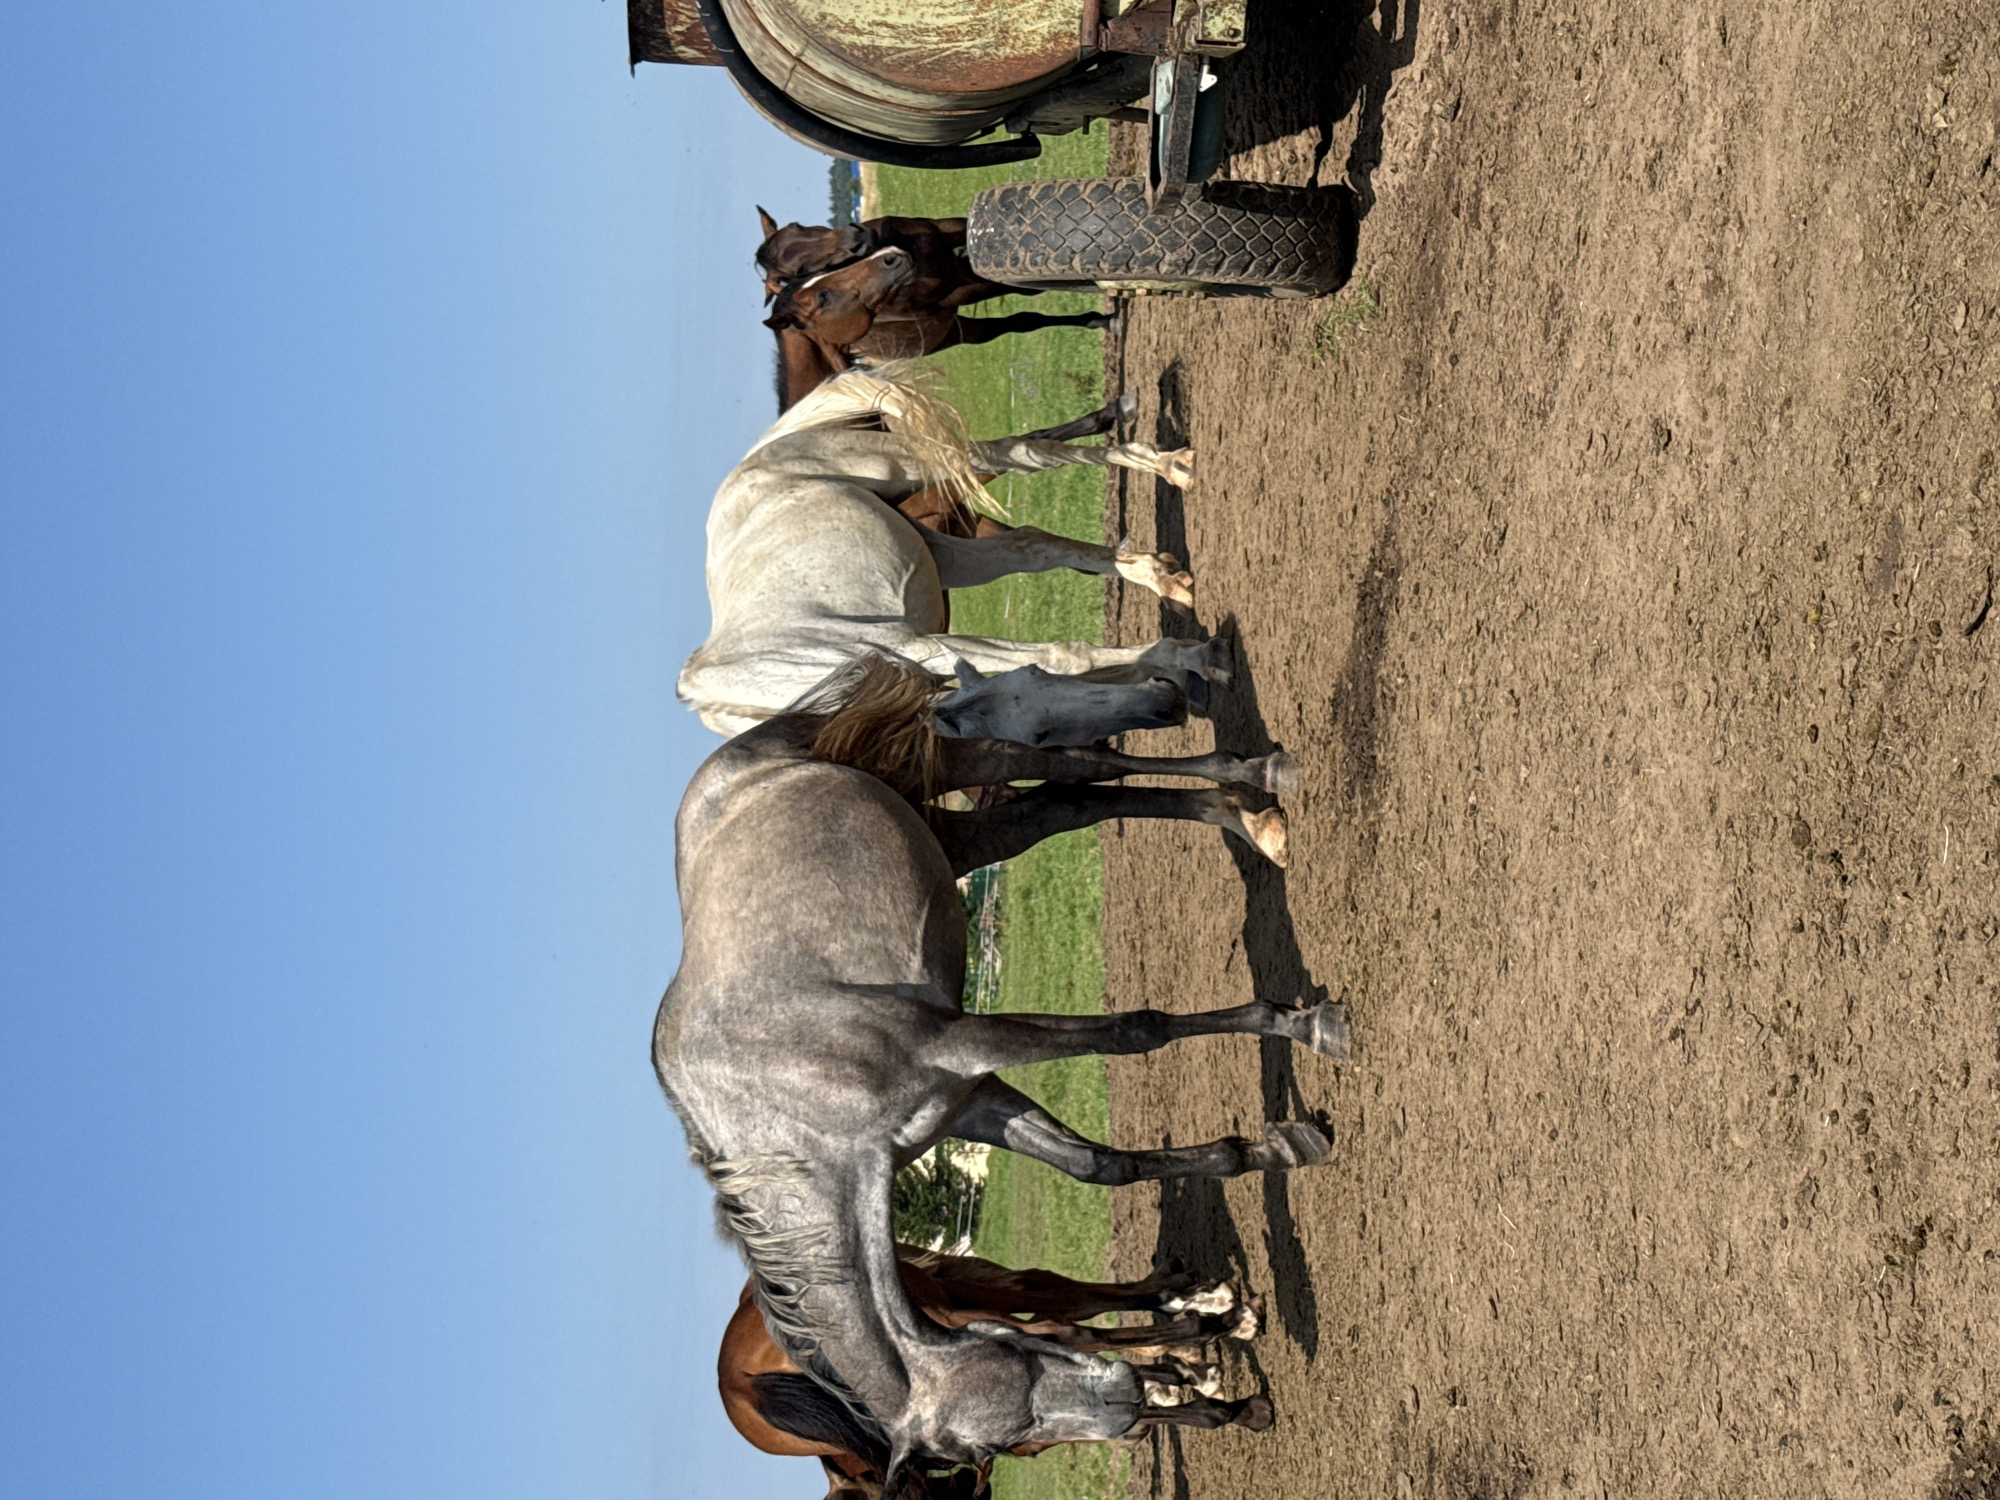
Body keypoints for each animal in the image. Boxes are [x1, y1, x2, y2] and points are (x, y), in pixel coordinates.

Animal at [680, 365, 1211, 749]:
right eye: (1037, 735)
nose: (1165, 709)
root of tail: (762, 453)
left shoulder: (918, 645)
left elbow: (1063, 656)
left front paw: (1187, 657)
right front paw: (1172, 667)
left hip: (905, 463)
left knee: (1023, 453)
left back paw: (1169, 465)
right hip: (939, 552)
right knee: (1032, 545)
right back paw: (1162, 575)